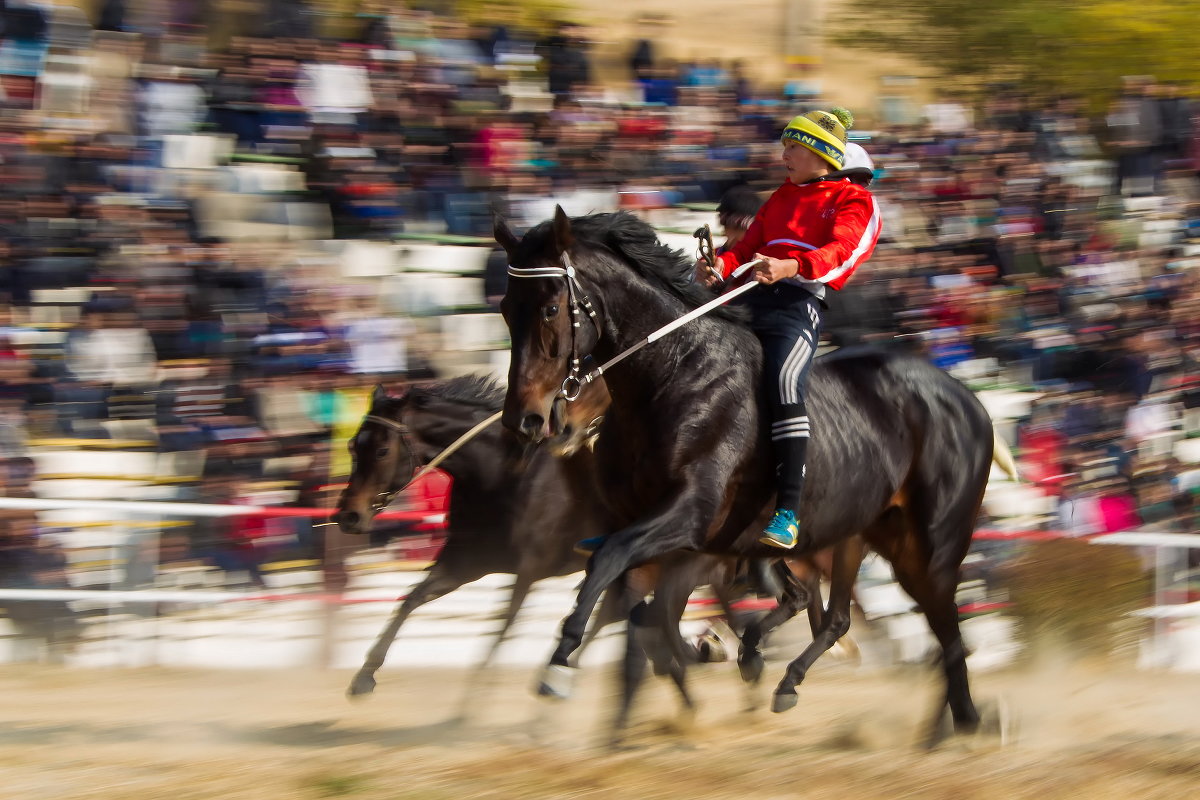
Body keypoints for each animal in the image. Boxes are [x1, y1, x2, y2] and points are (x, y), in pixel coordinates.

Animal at [494, 208, 1003, 743]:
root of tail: (969, 399)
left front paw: (560, 662)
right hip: (868, 535)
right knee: (857, 620)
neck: (677, 374)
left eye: (550, 308)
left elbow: (614, 572)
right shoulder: (650, 538)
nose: (526, 419)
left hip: (930, 547)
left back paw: (960, 723)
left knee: (944, 628)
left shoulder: (688, 519)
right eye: (506, 308)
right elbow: (630, 602)